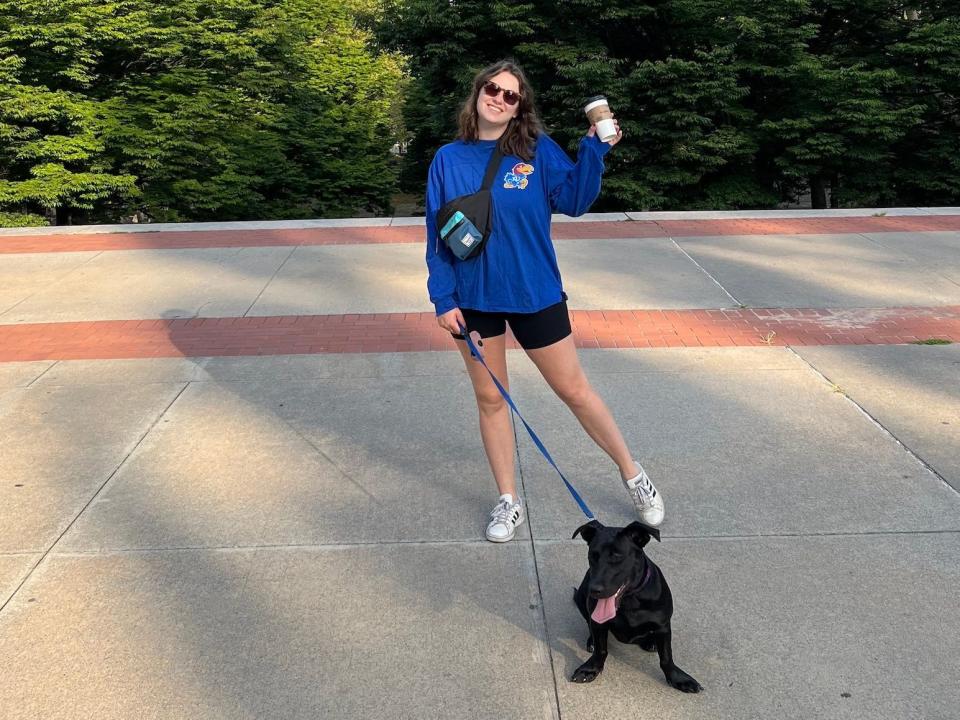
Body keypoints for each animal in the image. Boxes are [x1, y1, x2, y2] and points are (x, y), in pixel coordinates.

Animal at [572, 516, 700, 692]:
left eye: (617, 556)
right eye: (593, 555)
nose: (594, 590)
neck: (630, 599)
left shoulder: (663, 625)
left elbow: (666, 657)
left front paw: (677, 678)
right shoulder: (598, 623)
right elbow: (600, 649)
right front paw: (591, 669)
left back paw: (650, 642)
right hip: (580, 598)